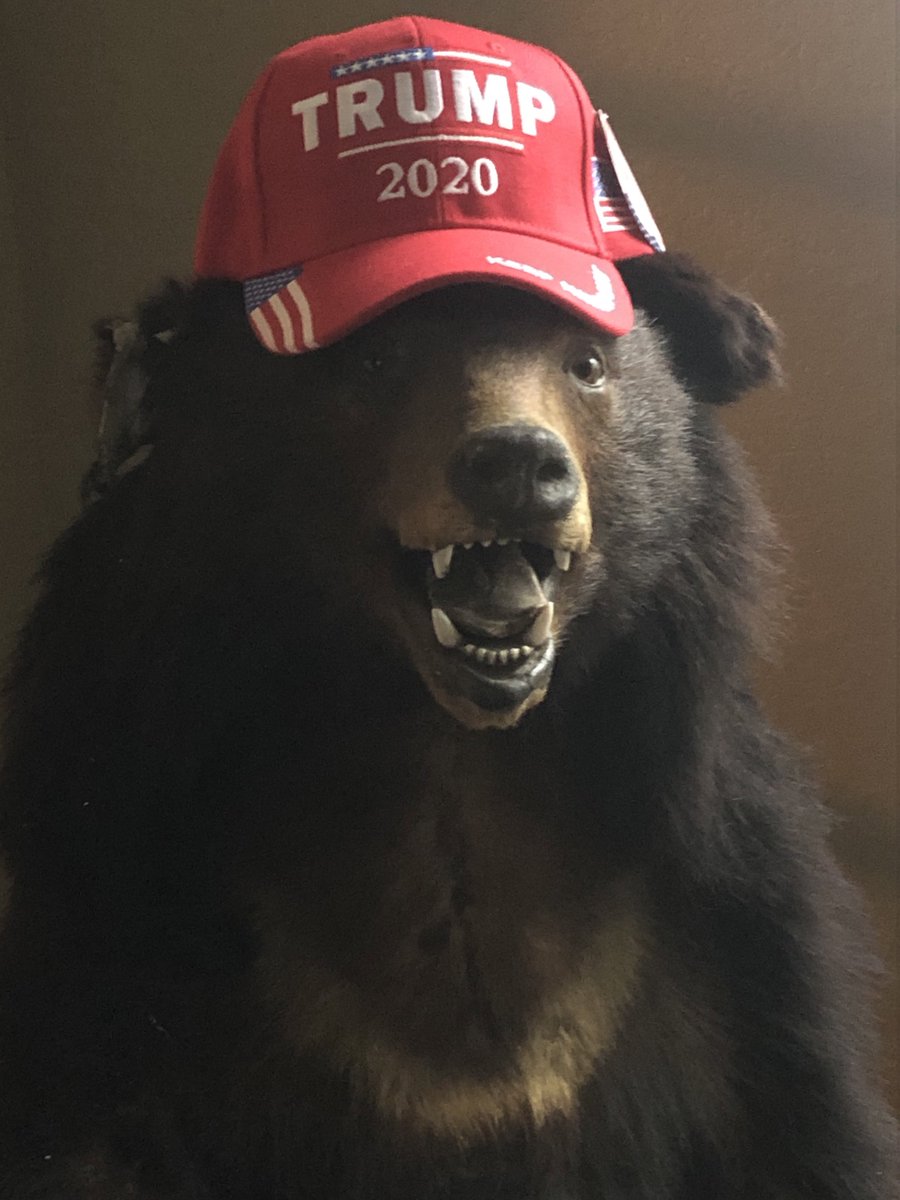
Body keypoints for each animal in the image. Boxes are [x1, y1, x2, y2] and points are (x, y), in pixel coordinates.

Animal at [0, 13, 897, 1199]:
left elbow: (805, 1131)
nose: (518, 466)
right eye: (377, 358)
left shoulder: (743, 945)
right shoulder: (117, 918)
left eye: (588, 363)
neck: (447, 752)